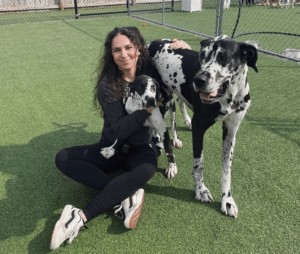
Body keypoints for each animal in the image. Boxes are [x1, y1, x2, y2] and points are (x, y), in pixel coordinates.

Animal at [148, 35, 258, 218]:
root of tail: (151, 42)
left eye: (223, 57)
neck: (230, 97)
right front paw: (200, 191)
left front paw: (227, 200)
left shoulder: (231, 131)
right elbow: (199, 164)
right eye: (202, 56)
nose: (198, 80)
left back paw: (177, 137)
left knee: (176, 111)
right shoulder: (199, 129)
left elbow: (227, 170)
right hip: (162, 99)